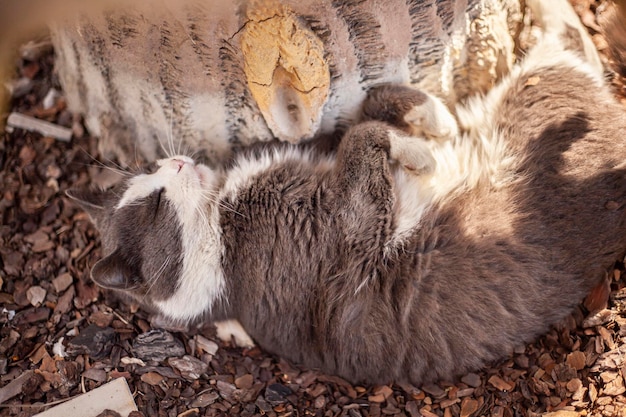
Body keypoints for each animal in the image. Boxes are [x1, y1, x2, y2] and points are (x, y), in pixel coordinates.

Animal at [66, 0, 624, 386]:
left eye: (151, 169)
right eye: (157, 203)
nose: (177, 162)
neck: (223, 212)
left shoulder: (323, 145)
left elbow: (367, 110)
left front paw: (430, 121)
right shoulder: (349, 230)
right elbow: (363, 139)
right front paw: (424, 150)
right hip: (541, 95)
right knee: (569, 54)